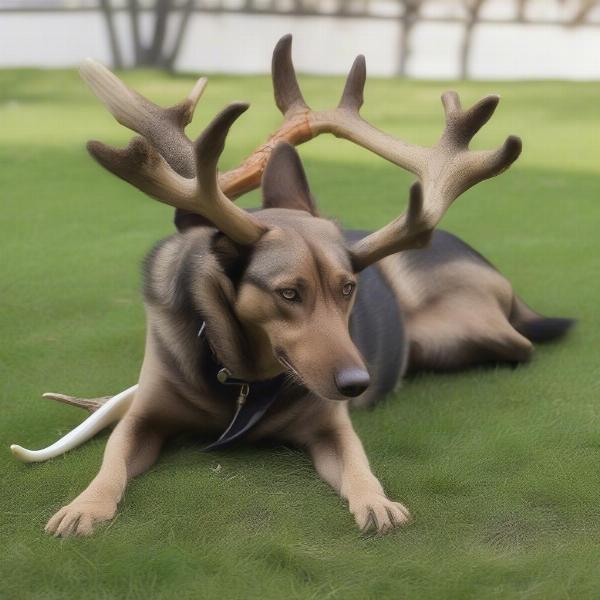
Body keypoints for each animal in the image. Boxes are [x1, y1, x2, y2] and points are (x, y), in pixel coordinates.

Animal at [10, 35, 572, 536]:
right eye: (288, 293)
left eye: (349, 288)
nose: (358, 383)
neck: (237, 379)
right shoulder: (147, 413)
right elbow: (110, 460)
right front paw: (82, 507)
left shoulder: (331, 424)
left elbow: (359, 467)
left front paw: (379, 503)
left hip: (455, 334)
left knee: (514, 343)